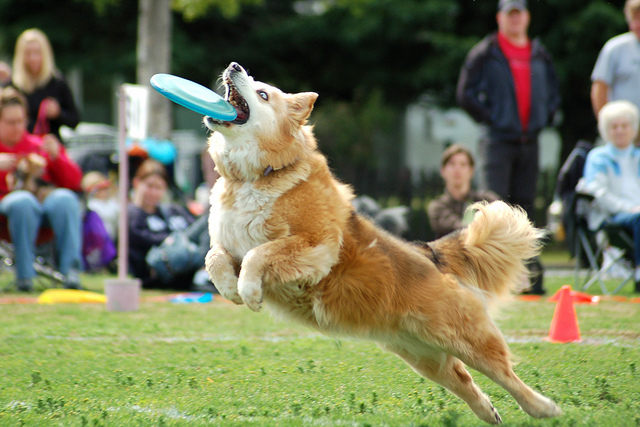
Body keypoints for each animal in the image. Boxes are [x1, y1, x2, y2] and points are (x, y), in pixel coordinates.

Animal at [205, 62, 560, 424]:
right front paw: (230, 289)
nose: (234, 66)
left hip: (463, 337)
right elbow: (214, 258)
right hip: (423, 355)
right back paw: (488, 412)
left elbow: (260, 254)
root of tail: (429, 254)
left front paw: (249, 290)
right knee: (462, 378)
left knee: (506, 375)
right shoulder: (229, 244)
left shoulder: (316, 245)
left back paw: (543, 407)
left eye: (263, 93)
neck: (258, 175)